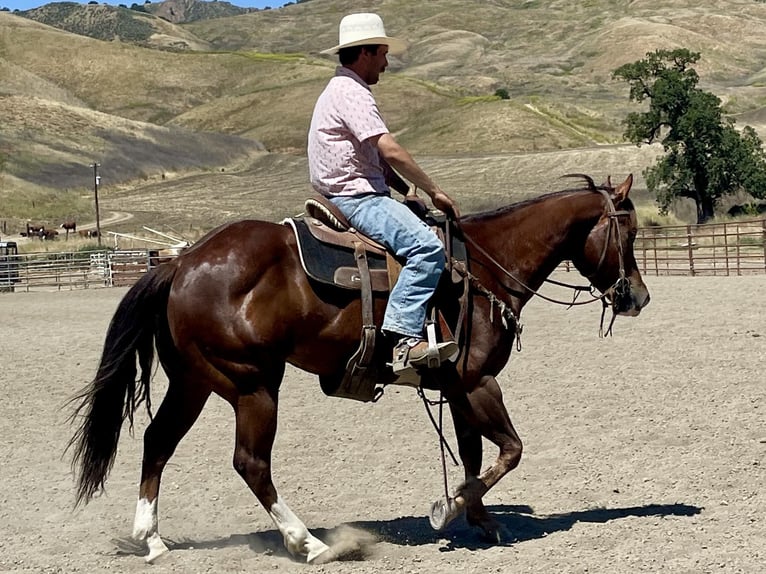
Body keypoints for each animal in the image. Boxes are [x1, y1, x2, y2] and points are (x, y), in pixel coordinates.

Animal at [70, 173, 648, 564]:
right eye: (630, 233)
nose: (637, 297)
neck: (481, 270)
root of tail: (182, 262)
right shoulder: (479, 382)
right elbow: (510, 450)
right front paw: (450, 507)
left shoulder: (458, 386)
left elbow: (472, 453)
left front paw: (481, 519)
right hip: (252, 383)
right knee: (250, 463)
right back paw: (308, 543)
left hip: (195, 382)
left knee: (157, 442)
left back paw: (152, 539)